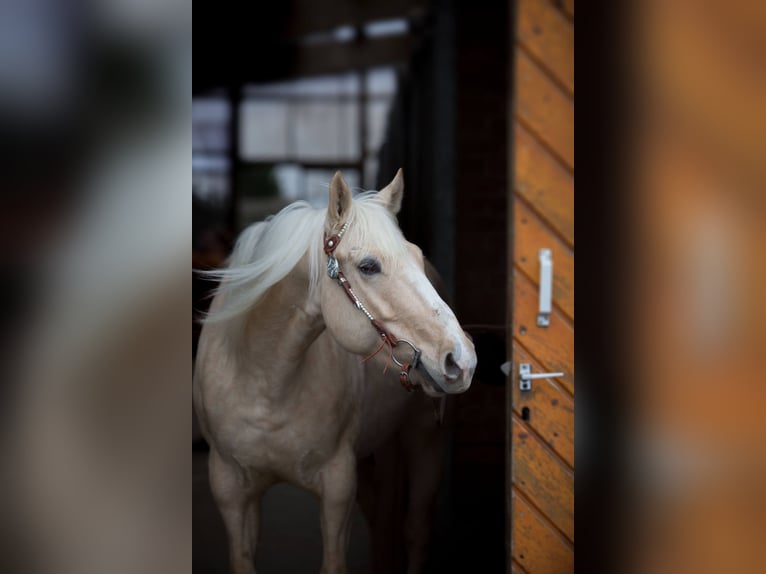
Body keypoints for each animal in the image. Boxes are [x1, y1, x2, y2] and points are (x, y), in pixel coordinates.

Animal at [195, 171, 476, 574]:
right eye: (369, 266)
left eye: (417, 258)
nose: (462, 359)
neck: (266, 381)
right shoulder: (230, 489)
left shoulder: (338, 487)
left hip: (425, 442)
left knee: (415, 531)